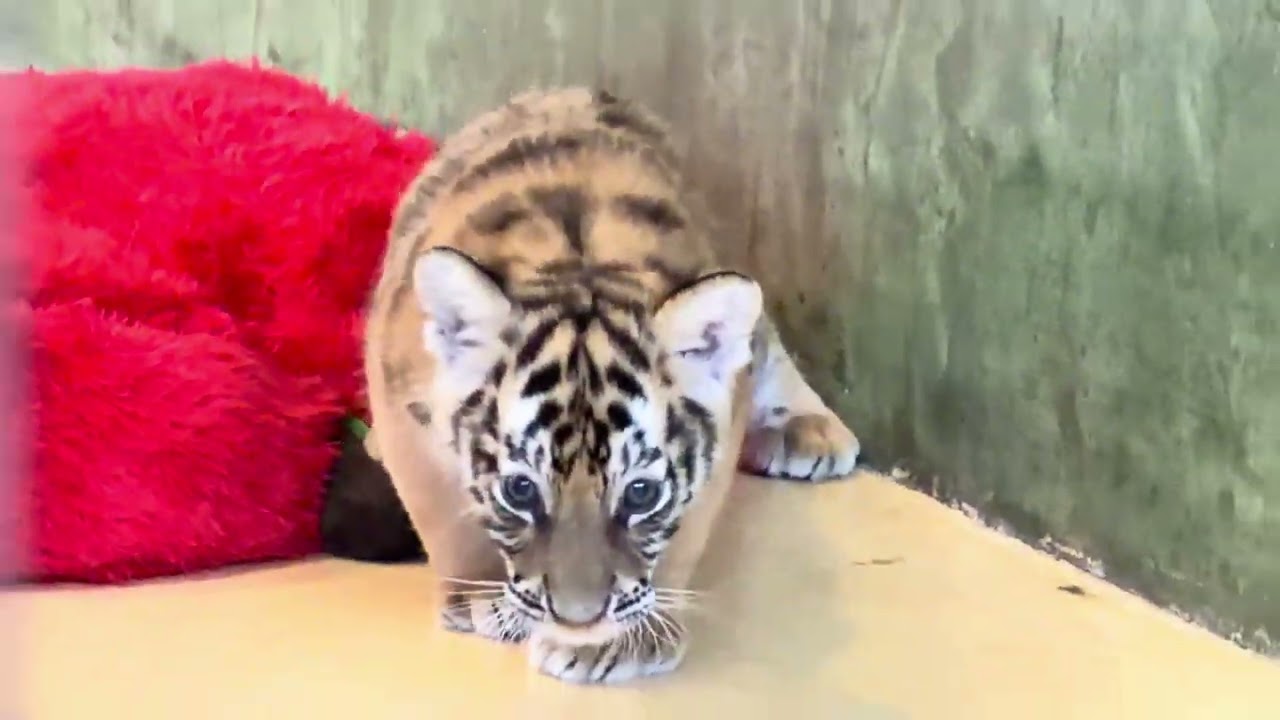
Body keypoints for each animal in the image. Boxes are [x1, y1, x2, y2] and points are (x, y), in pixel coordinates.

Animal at [361, 87, 862, 685]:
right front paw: (481, 599)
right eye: (520, 490)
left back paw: (808, 429)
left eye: (641, 493)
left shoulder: (722, 422)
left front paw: (619, 641)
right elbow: (439, 511)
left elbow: (681, 535)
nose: (577, 619)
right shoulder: (399, 400)